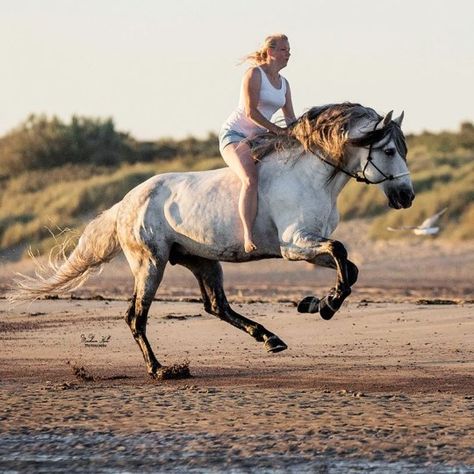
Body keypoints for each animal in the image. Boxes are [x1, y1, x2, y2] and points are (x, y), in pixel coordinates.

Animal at [12, 103, 414, 378]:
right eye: (390, 150)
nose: (406, 197)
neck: (312, 177)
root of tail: (125, 202)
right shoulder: (295, 245)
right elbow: (342, 254)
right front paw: (325, 306)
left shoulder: (311, 246)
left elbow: (349, 267)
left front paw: (315, 303)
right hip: (151, 263)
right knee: (136, 316)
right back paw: (159, 369)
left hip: (202, 260)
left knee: (216, 306)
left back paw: (269, 338)